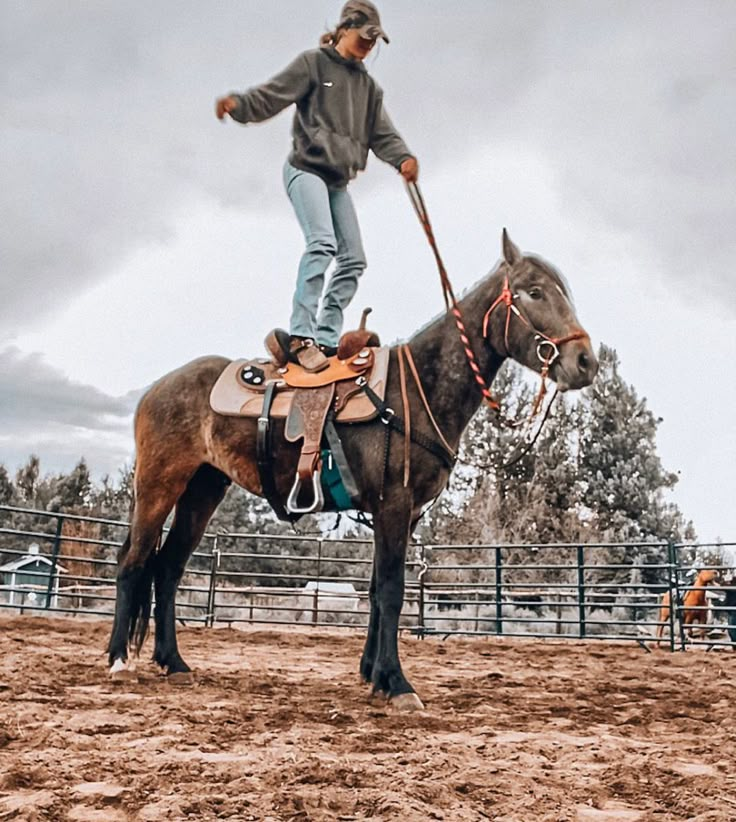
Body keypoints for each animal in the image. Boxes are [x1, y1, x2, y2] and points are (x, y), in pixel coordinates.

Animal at [108, 230, 600, 708]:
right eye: (534, 292)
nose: (586, 362)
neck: (417, 389)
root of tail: (158, 388)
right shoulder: (394, 504)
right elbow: (392, 590)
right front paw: (398, 683)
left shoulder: (401, 513)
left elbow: (376, 593)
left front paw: (374, 674)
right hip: (159, 482)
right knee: (134, 563)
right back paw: (118, 660)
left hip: (204, 488)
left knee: (168, 568)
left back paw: (173, 661)